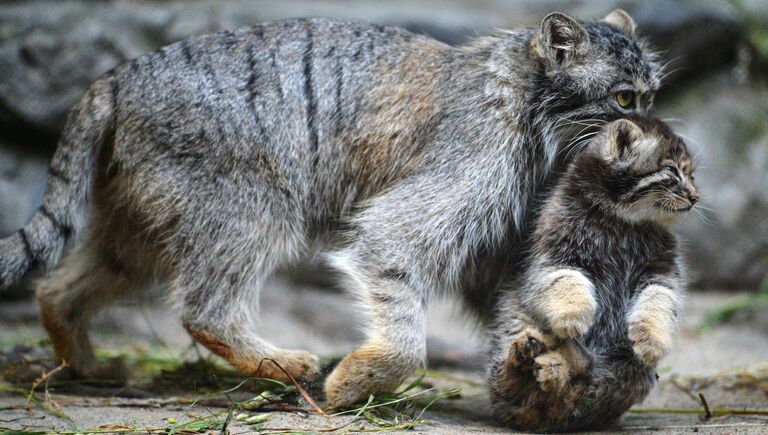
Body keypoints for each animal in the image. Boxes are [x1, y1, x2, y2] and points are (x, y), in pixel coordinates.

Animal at [488, 116, 700, 432]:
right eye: (673, 171)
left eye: (692, 176)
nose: (695, 197)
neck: (620, 223)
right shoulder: (553, 260)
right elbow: (568, 282)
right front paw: (573, 317)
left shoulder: (662, 273)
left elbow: (657, 302)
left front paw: (651, 340)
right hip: (515, 326)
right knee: (512, 382)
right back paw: (540, 358)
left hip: (630, 370)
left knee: (584, 392)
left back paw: (557, 367)